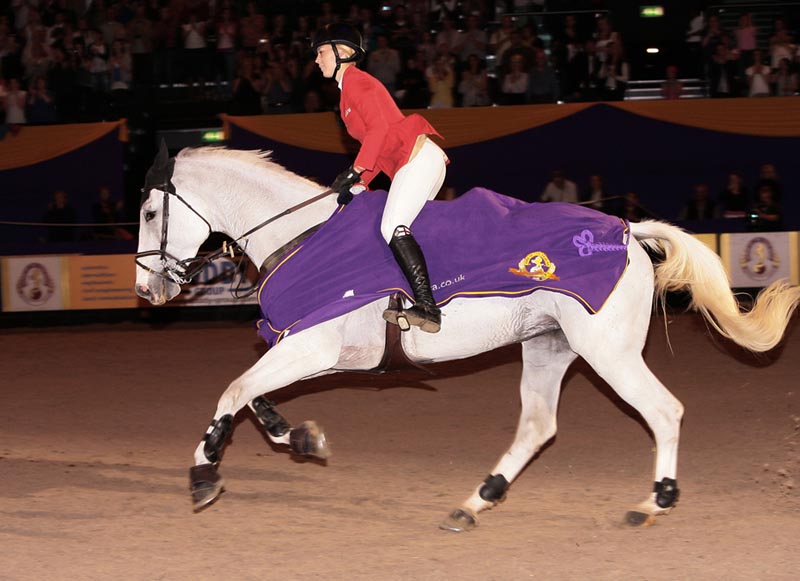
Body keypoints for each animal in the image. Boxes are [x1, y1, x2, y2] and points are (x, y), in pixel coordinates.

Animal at [134, 146, 796, 532]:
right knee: (538, 426)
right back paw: (478, 499)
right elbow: (255, 396)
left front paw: (203, 473)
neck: (302, 238)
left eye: (147, 213)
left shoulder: (312, 347)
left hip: (607, 350)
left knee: (663, 411)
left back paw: (653, 502)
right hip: (548, 346)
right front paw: (299, 437)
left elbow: (233, 391)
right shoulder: (310, 350)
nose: (146, 289)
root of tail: (627, 231)